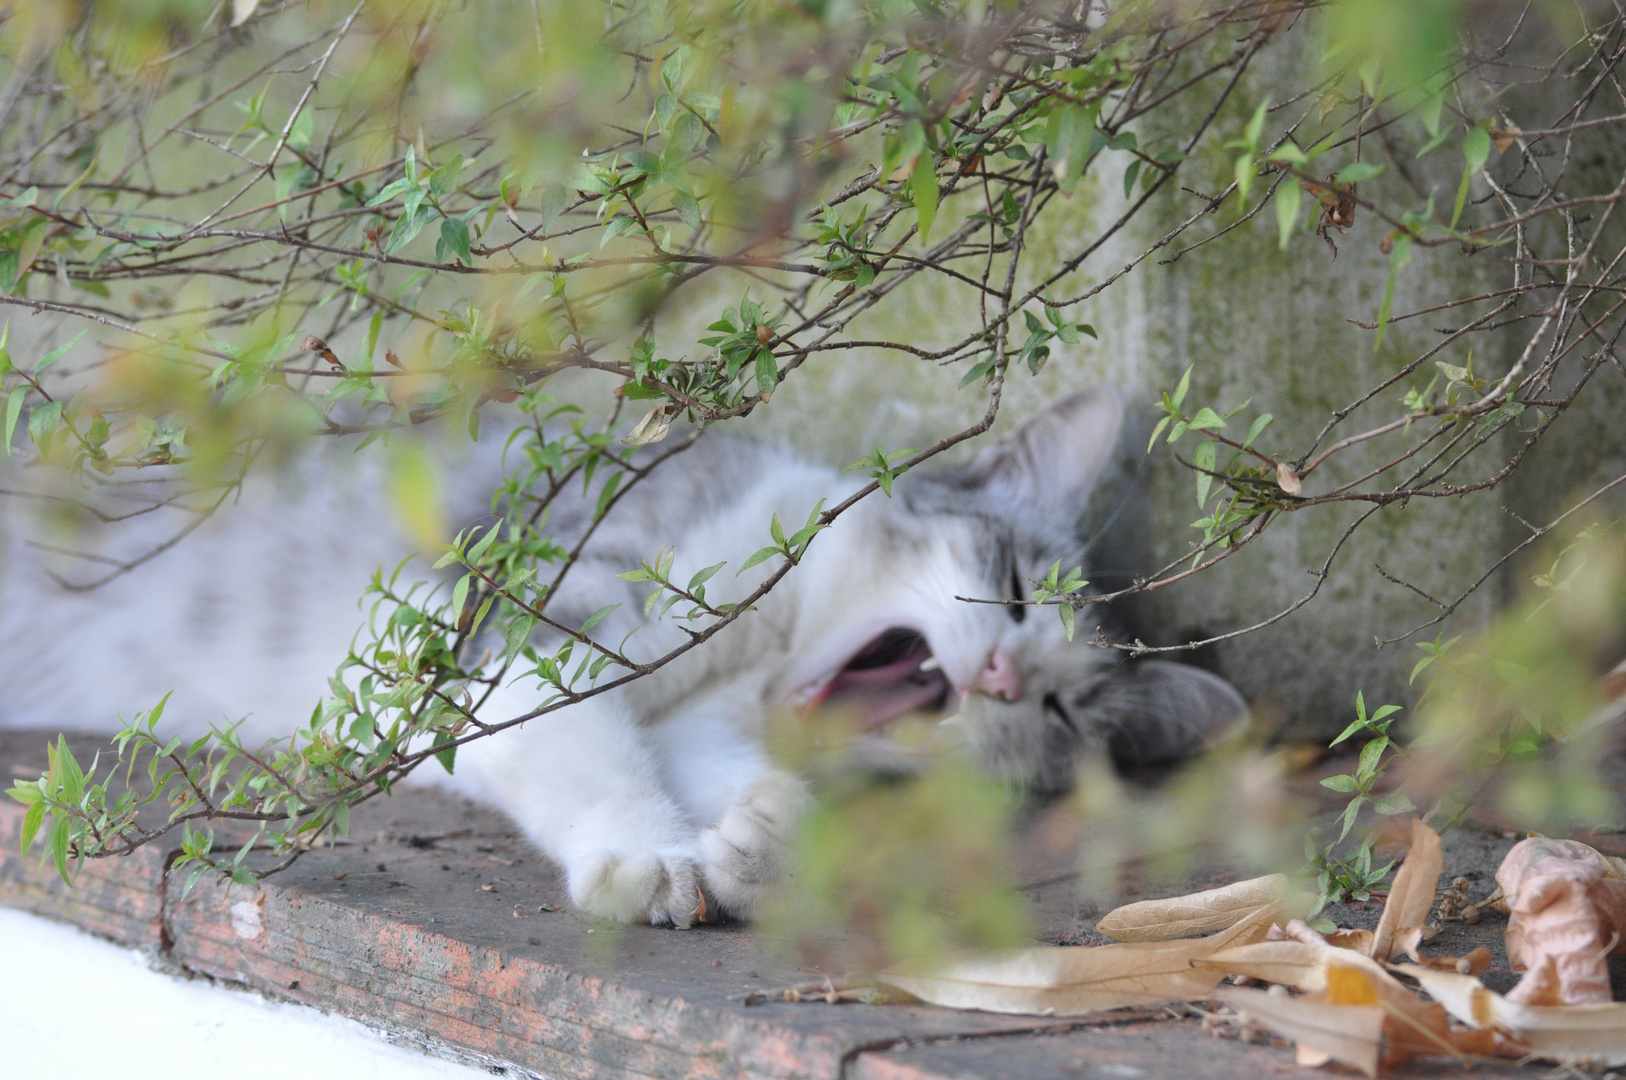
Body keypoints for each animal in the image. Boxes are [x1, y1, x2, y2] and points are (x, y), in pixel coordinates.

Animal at [0, 388, 1242, 930]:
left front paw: (759, 840)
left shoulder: (697, 727)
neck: (760, 658)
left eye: (1063, 713)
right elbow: (583, 747)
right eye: (1015, 585)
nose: (1002, 680)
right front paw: (649, 858)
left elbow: (729, 779)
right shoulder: (521, 637)